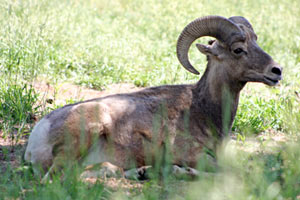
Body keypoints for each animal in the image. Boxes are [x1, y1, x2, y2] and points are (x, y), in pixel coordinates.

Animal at [24, 15, 282, 177]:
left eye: (256, 42)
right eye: (238, 50)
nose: (276, 71)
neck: (201, 110)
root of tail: (37, 135)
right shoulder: (195, 156)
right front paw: (180, 171)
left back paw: (142, 172)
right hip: (86, 132)